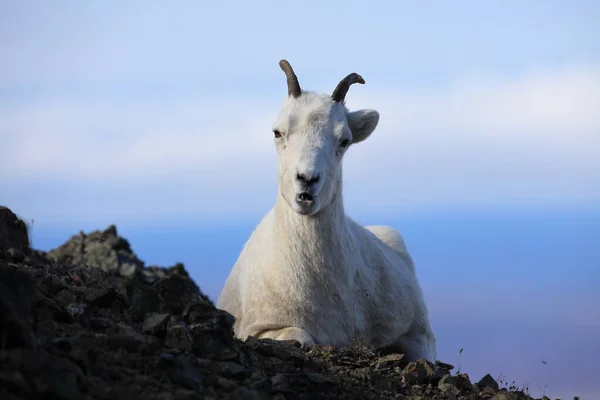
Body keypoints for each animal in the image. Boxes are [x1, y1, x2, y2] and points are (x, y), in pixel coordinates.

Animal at [216, 59, 436, 362]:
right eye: (277, 132)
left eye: (344, 140)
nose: (307, 180)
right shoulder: (265, 329)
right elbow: (301, 338)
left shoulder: (418, 337)